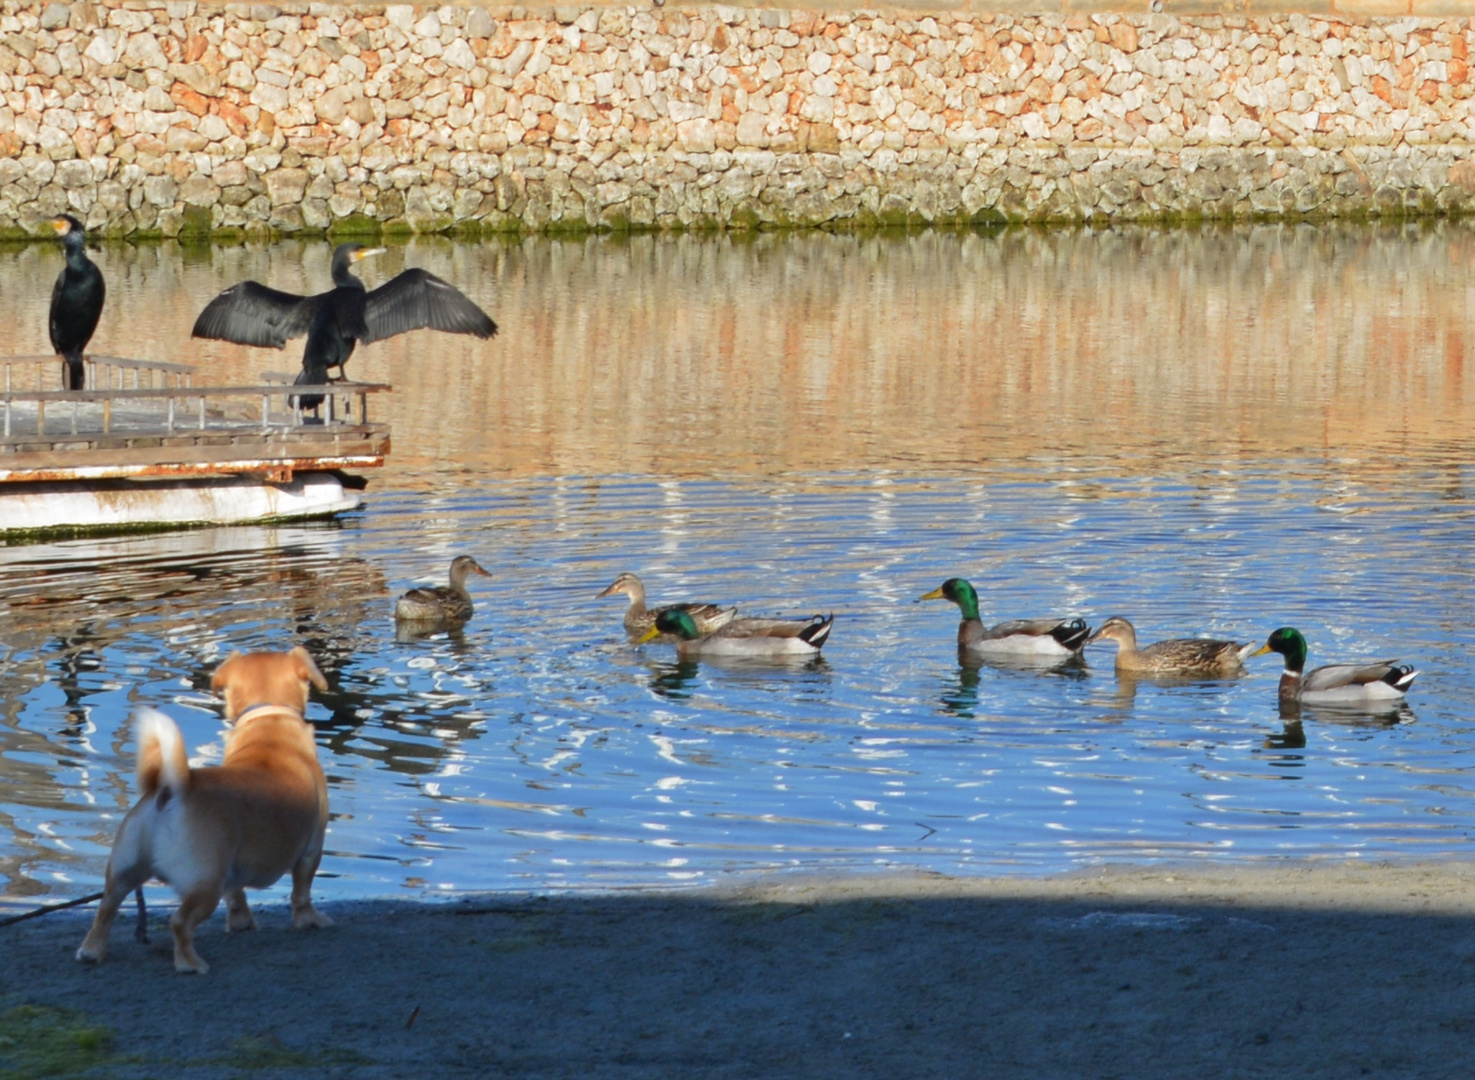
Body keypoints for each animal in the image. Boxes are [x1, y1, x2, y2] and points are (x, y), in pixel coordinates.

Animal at [77, 646, 331, 973]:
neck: (269, 723)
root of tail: (172, 791)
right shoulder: (311, 850)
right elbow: (302, 893)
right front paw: (310, 921)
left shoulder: (233, 870)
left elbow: (236, 898)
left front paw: (241, 923)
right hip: (205, 886)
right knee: (179, 922)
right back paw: (190, 963)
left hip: (123, 872)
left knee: (105, 910)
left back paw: (92, 951)